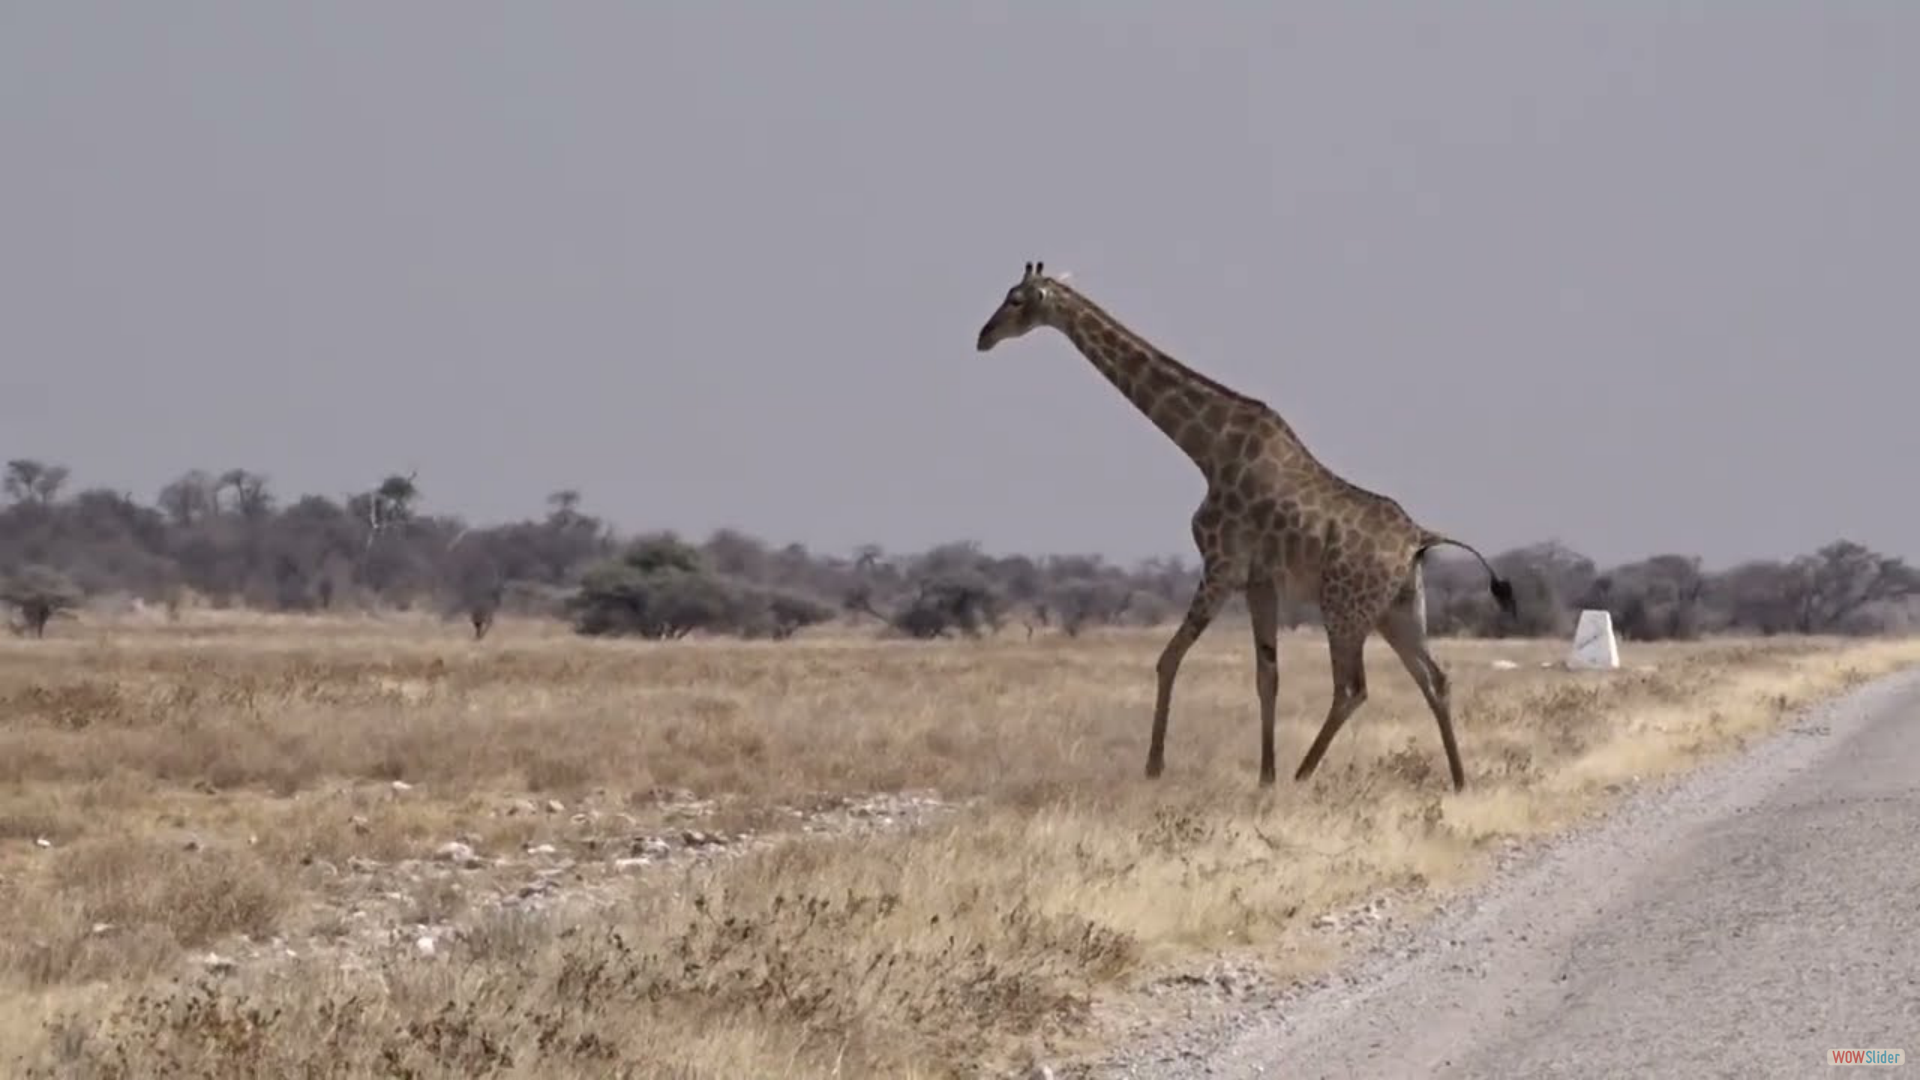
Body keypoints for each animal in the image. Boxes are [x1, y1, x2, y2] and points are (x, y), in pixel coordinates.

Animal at [975, 255, 1512, 787]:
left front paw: (1155, 766)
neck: (1207, 448)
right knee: (1434, 678)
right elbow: (1266, 676)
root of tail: (1420, 538)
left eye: (1017, 300)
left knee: (1352, 687)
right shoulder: (1260, 581)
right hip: (1398, 609)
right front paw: (1264, 775)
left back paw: (1304, 774)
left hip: (1345, 606)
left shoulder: (1222, 564)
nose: (984, 336)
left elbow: (1169, 658)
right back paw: (1459, 781)